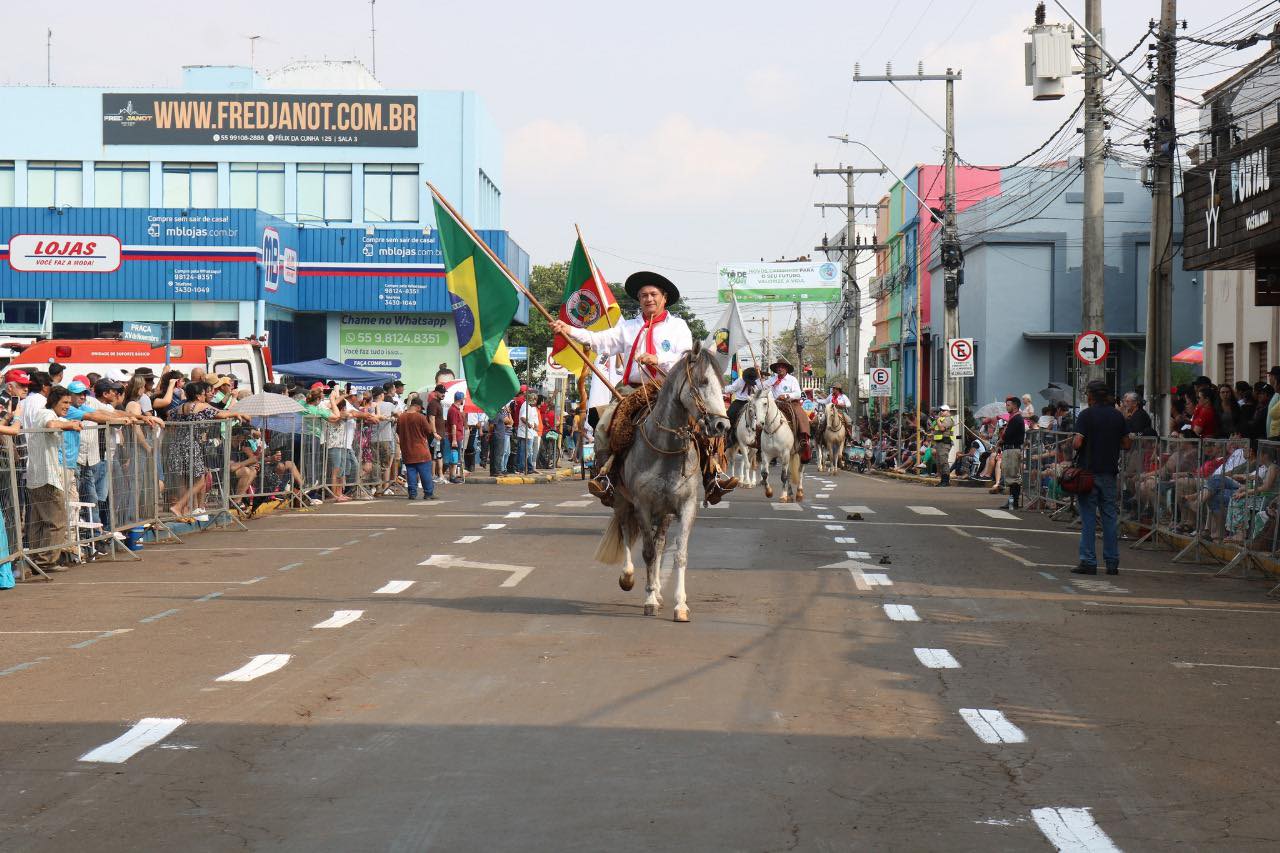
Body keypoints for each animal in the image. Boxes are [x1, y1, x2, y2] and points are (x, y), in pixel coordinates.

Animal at [591, 343, 727, 622]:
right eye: (703, 381)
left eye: (722, 383)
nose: (722, 425)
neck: (666, 449)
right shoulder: (642, 505)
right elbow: (648, 552)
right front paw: (650, 600)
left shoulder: (686, 507)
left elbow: (679, 554)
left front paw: (680, 605)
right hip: (622, 501)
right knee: (626, 532)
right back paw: (630, 578)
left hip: (664, 513)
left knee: (661, 542)